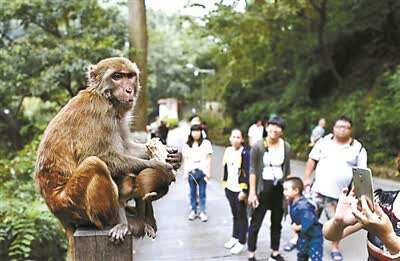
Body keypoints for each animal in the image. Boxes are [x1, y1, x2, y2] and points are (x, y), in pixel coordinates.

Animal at [34, 57, 181, 258]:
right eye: (117, 76)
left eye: (130, 76)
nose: (129, 90)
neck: (105, 97)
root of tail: (59, 216)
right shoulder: (100, 113)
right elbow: (100, 156)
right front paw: (159, 165)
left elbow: (126, 147)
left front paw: (174, 155)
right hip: (72, 204)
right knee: (95, 163)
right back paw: (119, 222)